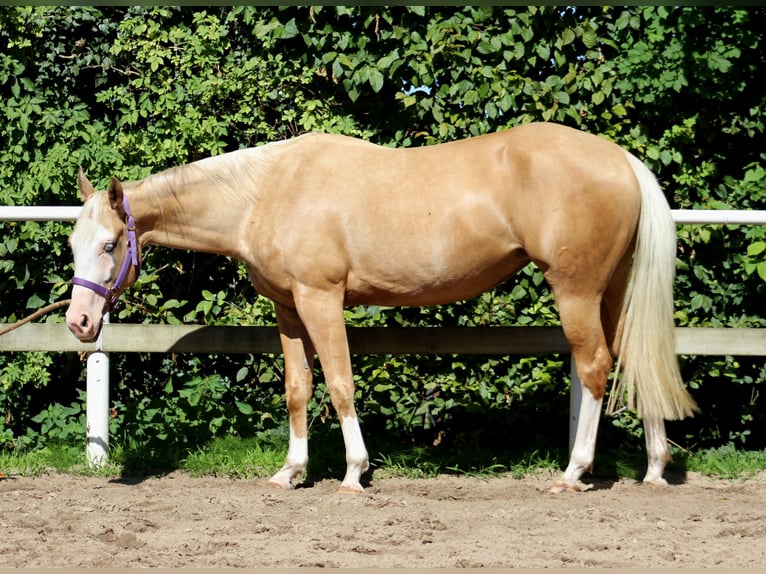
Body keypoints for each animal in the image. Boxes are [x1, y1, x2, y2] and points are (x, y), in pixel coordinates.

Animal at [67, 122, 704, 496]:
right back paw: (654, 468)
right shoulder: (289, 311)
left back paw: (574, 473)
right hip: (612, 289)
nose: (79, 322)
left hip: (576, 290)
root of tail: (621, 158)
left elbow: (341, 383)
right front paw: (291, 472)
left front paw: (354, 473)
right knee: (633, 359)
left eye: (111, 244)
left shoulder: (321, 300)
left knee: (595, 367)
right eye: (74, 242)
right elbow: (299, 389)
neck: (266, 192)